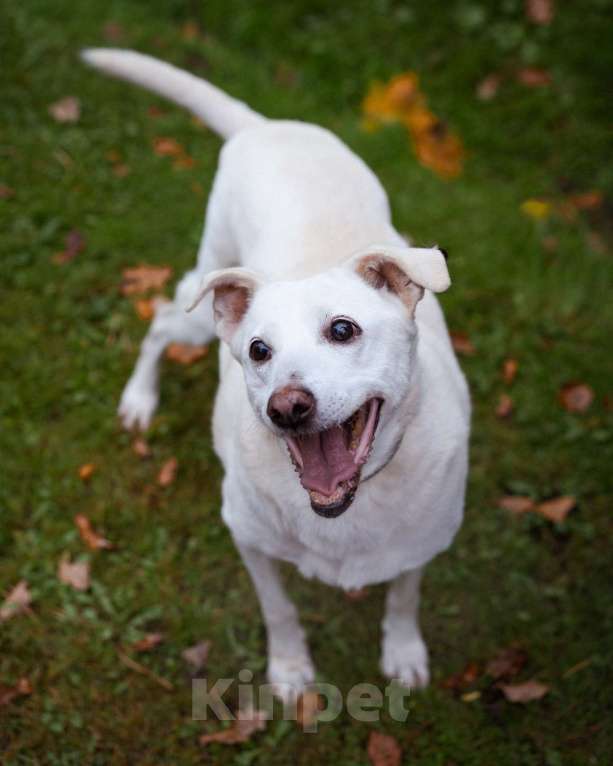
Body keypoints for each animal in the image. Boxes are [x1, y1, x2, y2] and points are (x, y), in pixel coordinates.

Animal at [82, 48, 468, 696]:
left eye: (343, 330)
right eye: (259, 350)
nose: (286, 407)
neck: (347, 507)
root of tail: (263, 126)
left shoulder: (423, 543)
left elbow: (404, 597)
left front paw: (403, 650)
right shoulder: (248, 538)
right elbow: (278, 608)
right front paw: (289, 669)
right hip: (200, 305)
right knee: (160, 321)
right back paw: (140, 398)